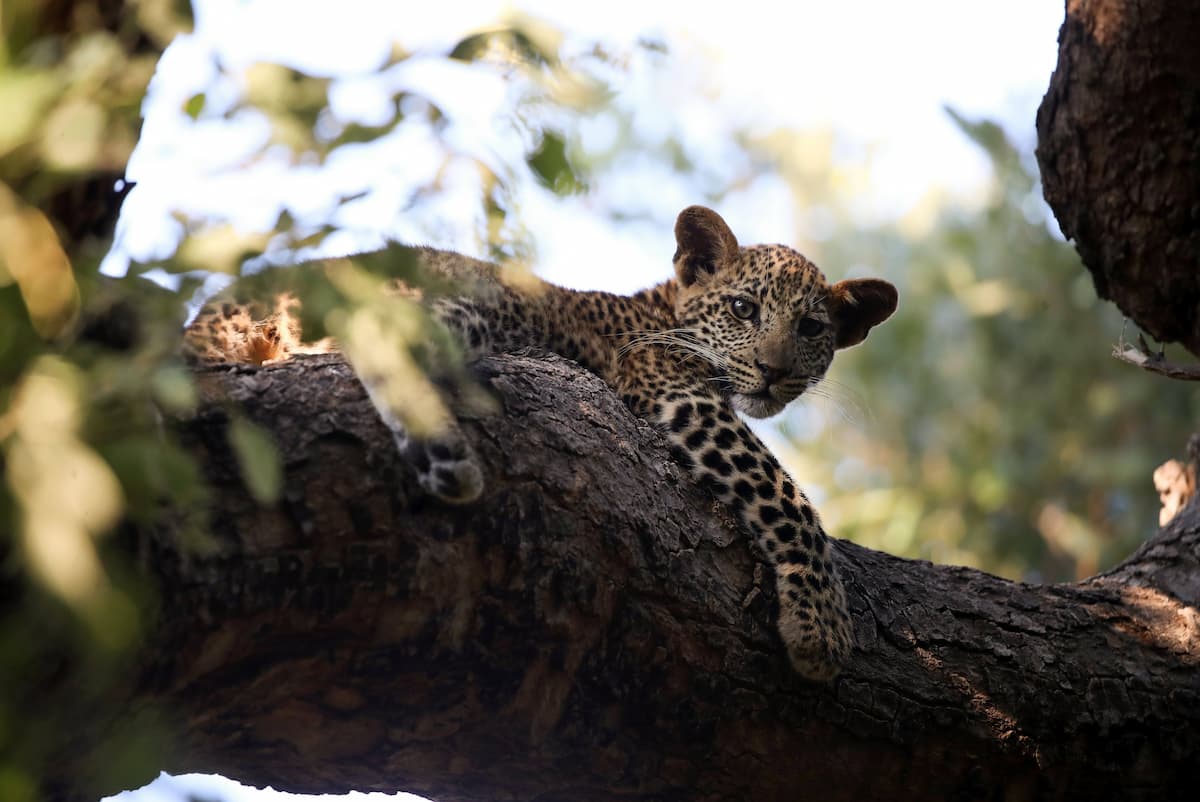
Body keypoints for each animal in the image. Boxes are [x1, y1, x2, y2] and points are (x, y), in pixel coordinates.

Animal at [183, 205, 898, 680]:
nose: (776, 371)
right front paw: (822, 625)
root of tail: (220, 304)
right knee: (373, 336)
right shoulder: (677, 393)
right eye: (744, 310)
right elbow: (783, 494)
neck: (663, 312)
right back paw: (446, 459)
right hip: (461, 304)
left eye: (811, 329)